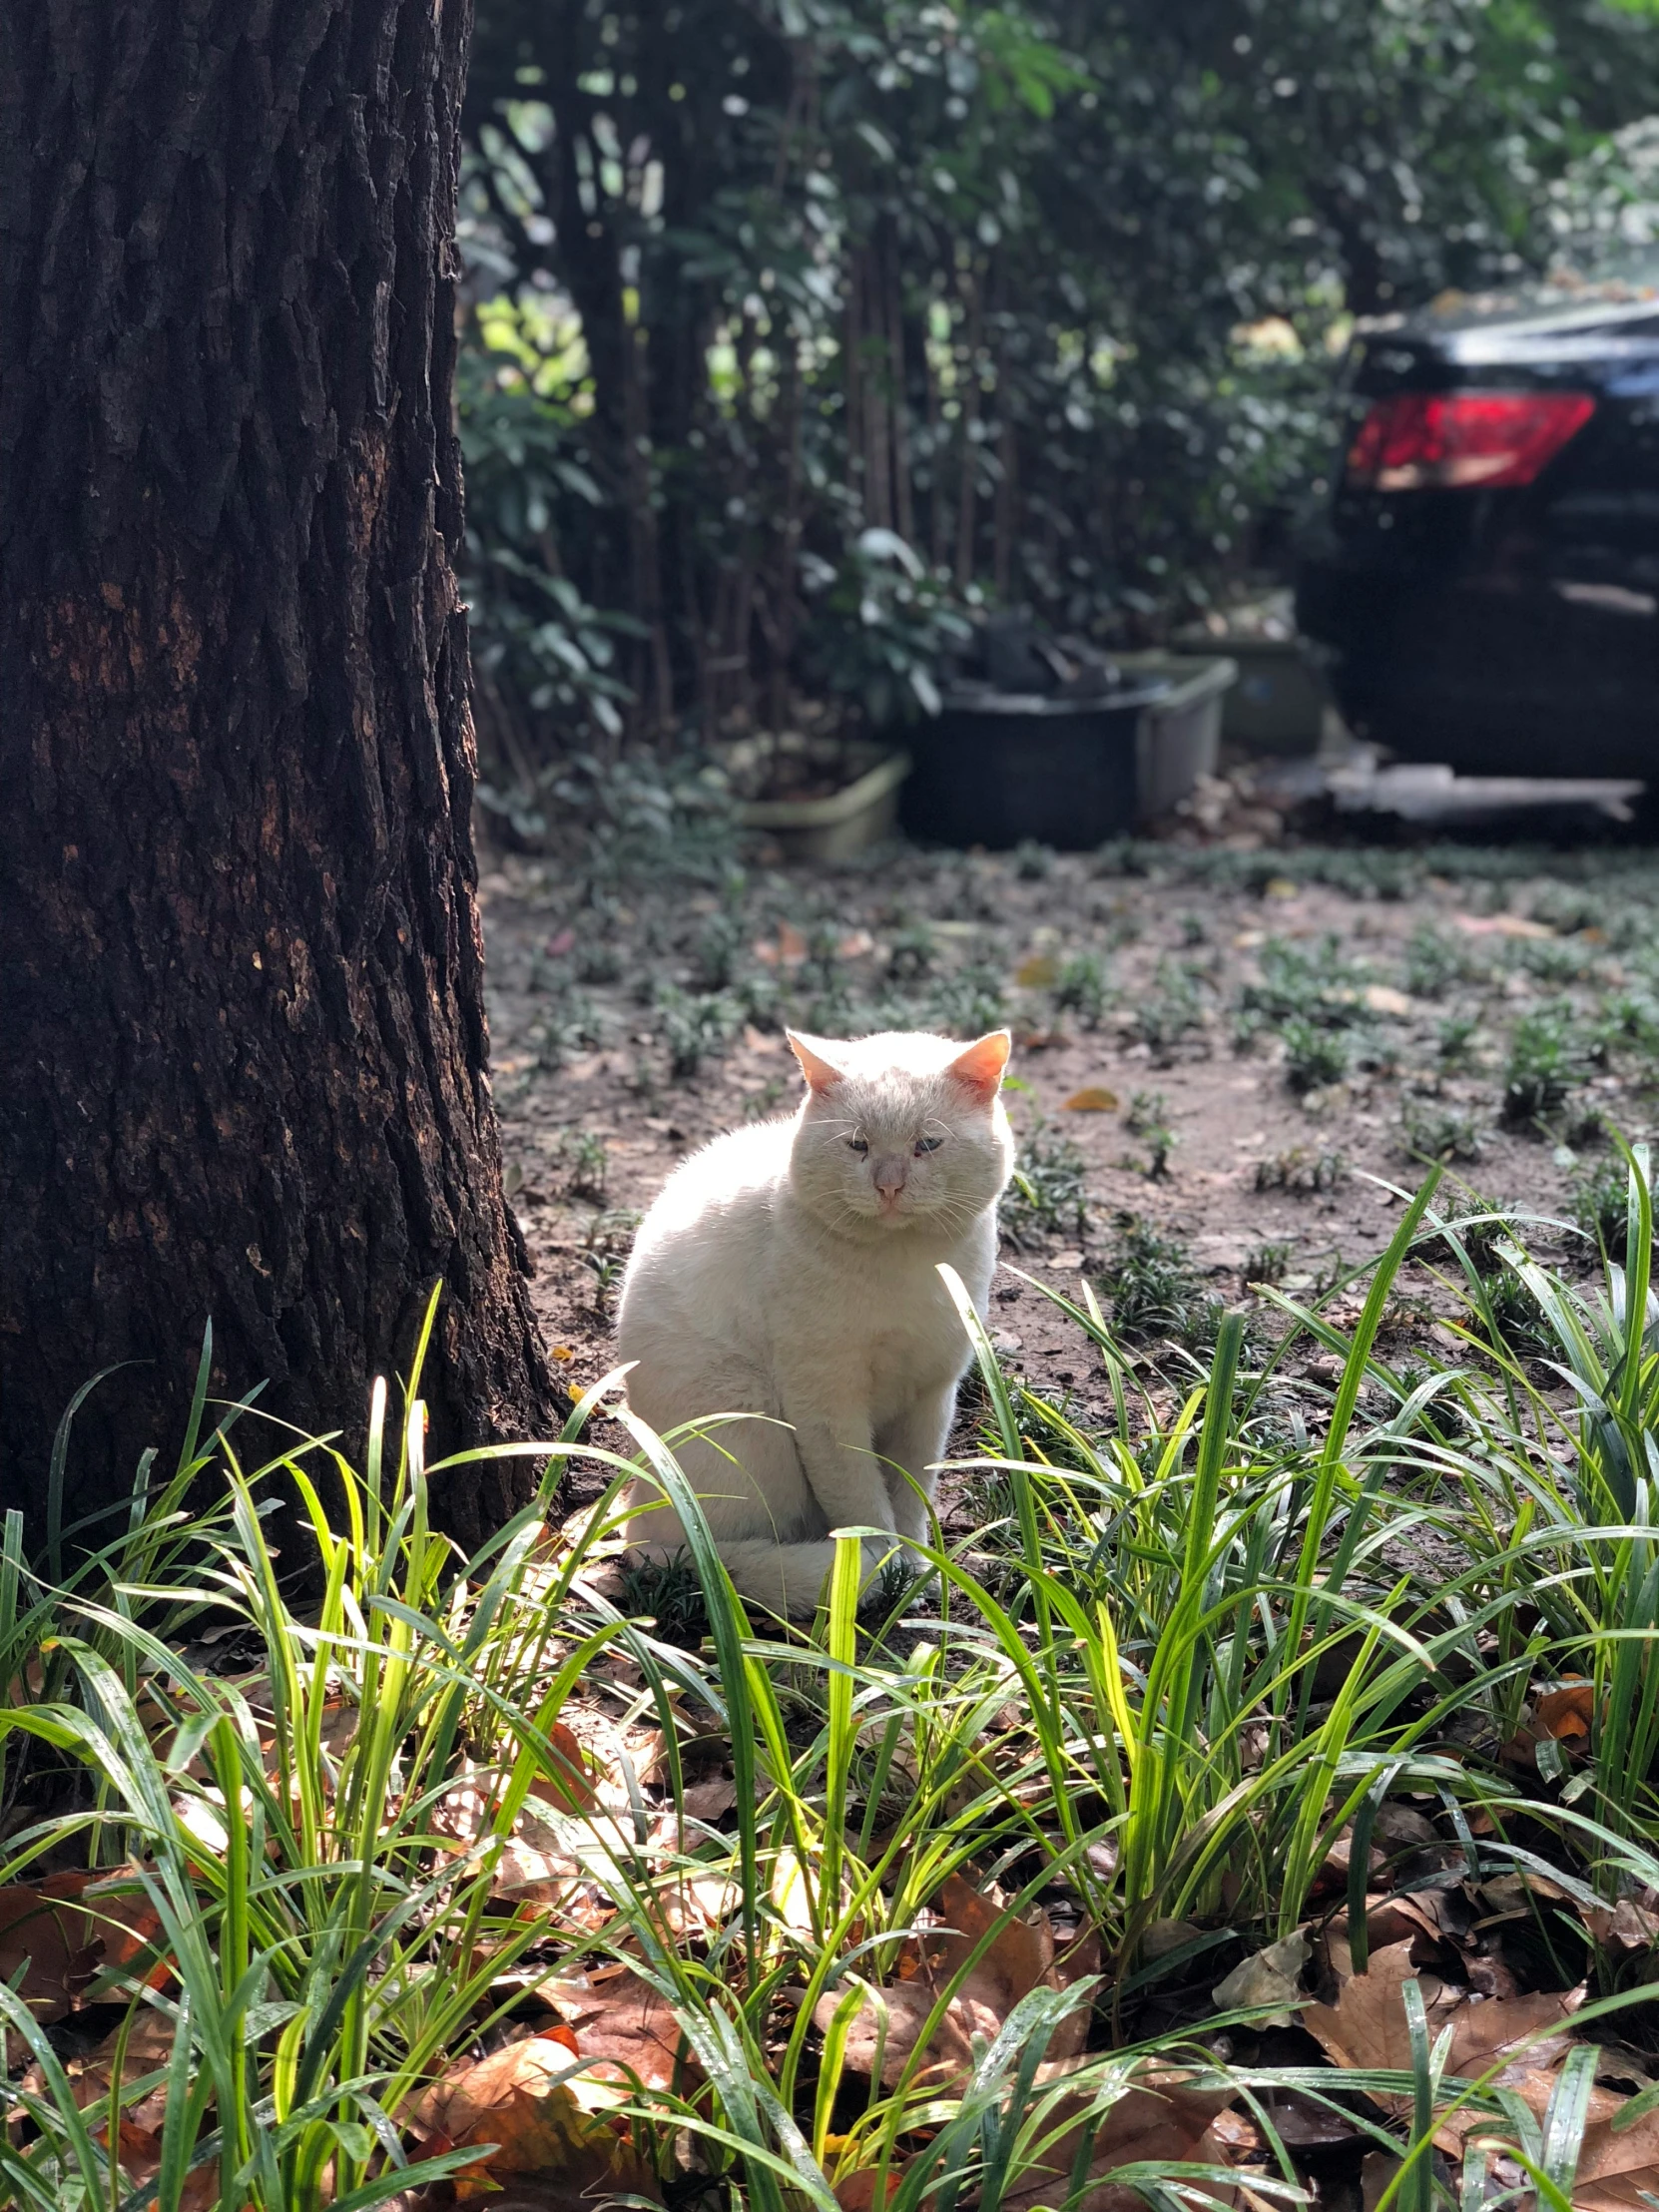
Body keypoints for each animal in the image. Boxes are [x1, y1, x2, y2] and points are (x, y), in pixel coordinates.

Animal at [619, 1026, 1021, 1619]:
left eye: (927, 1145)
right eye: (857, 1145)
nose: (888, 1186)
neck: (906, 1265)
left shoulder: (932, 1396)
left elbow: (912, 1494)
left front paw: (916, 1568)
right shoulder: (826, 1405)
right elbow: (862, 1503)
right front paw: (882, 1570)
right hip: (751, 1418)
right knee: (703, 1553)